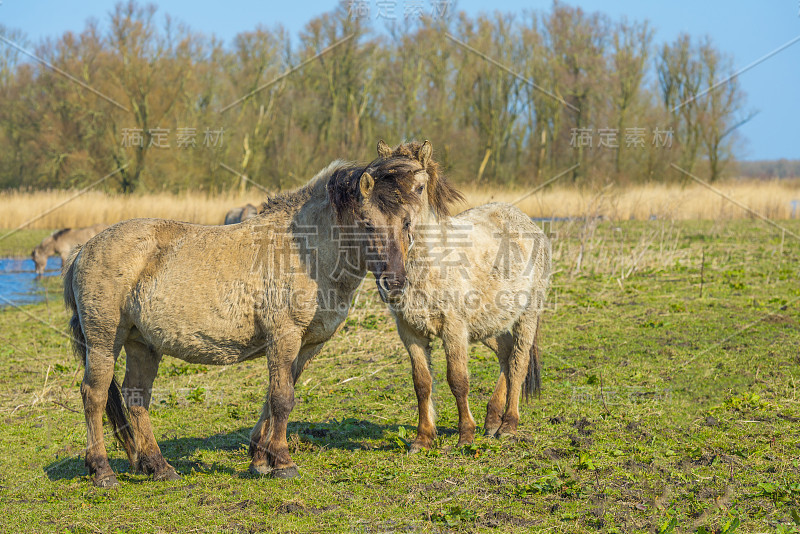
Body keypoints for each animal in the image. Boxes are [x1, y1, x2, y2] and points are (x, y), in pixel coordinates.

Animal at [62, 148, 456, 490]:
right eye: (369, 226)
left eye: (407, 223)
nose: (395, 282)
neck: (307, 250)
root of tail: (83, 249)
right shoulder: (284, 336)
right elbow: (282, 398)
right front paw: (282, 462)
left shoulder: (306, 345)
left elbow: (276, 396)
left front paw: (260, 459)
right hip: (104, 342)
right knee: (94, 396)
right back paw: (102, 471)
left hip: (142, 344)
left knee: (137, 398)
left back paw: (158, 467)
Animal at [374, 141, 552, 452]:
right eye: (379, 191)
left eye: (419, 187)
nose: (400, 229)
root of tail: (526, 222)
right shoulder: (409, 331)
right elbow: (422, 382)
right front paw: (423, 438)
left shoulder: (454, 328)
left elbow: (458, 380)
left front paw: (465, 435)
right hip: (486, 323)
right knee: (505, 352)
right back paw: (492, 421)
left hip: (527, 315)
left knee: (518, 362)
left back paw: (508, 425)